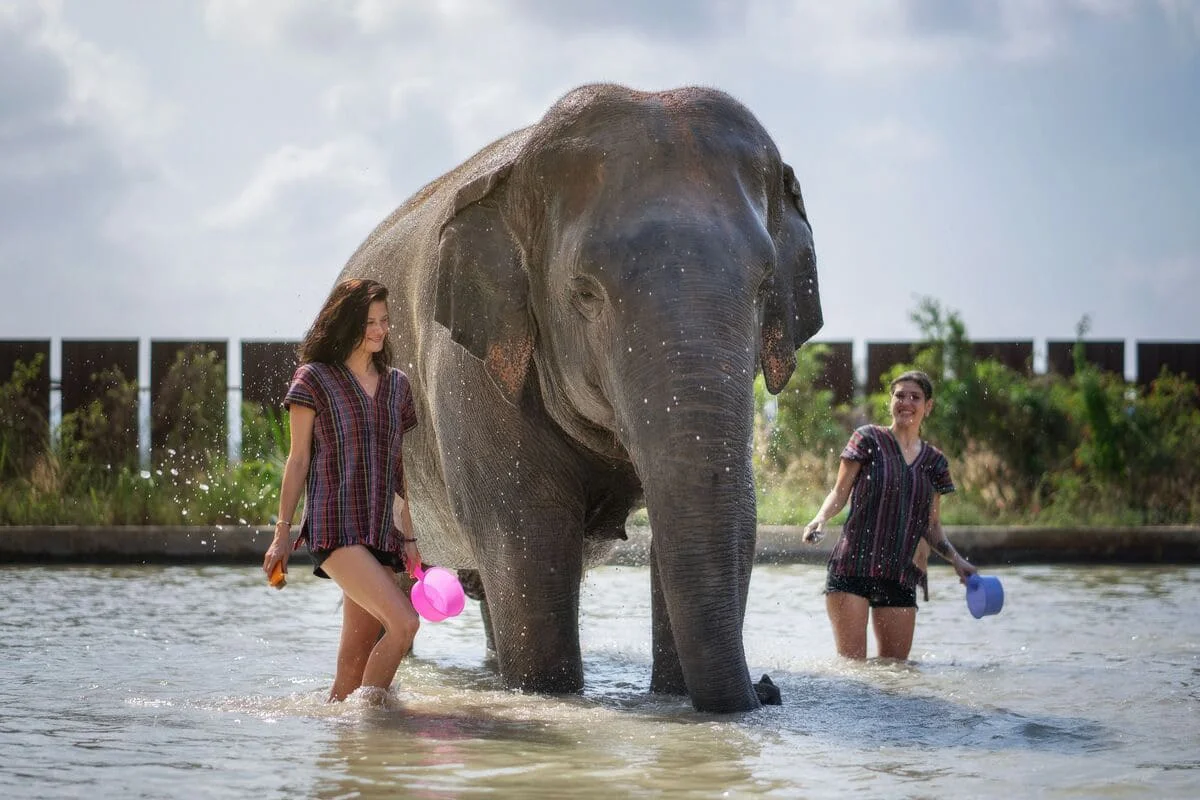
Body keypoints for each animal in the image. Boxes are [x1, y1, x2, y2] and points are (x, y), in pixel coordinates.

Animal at [337, 83, 822, 713]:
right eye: (585, 293)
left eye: (765, 287)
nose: (768, 689)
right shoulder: (470, 373)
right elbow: (527, 540)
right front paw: (548, 695)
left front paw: (673, 697)